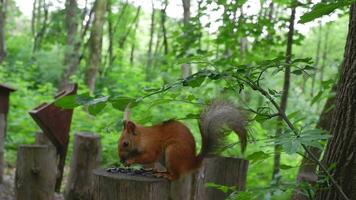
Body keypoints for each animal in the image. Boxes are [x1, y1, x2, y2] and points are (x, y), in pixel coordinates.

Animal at [118, 101, 246, 180]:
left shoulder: (152, 147)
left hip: (173, 152)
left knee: (177, 176)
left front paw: (130, 161)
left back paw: (167, 176)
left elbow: (148, 157)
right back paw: (162, 172)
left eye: (125, 143)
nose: (121, 159)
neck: (143, 138)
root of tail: (191, 163)